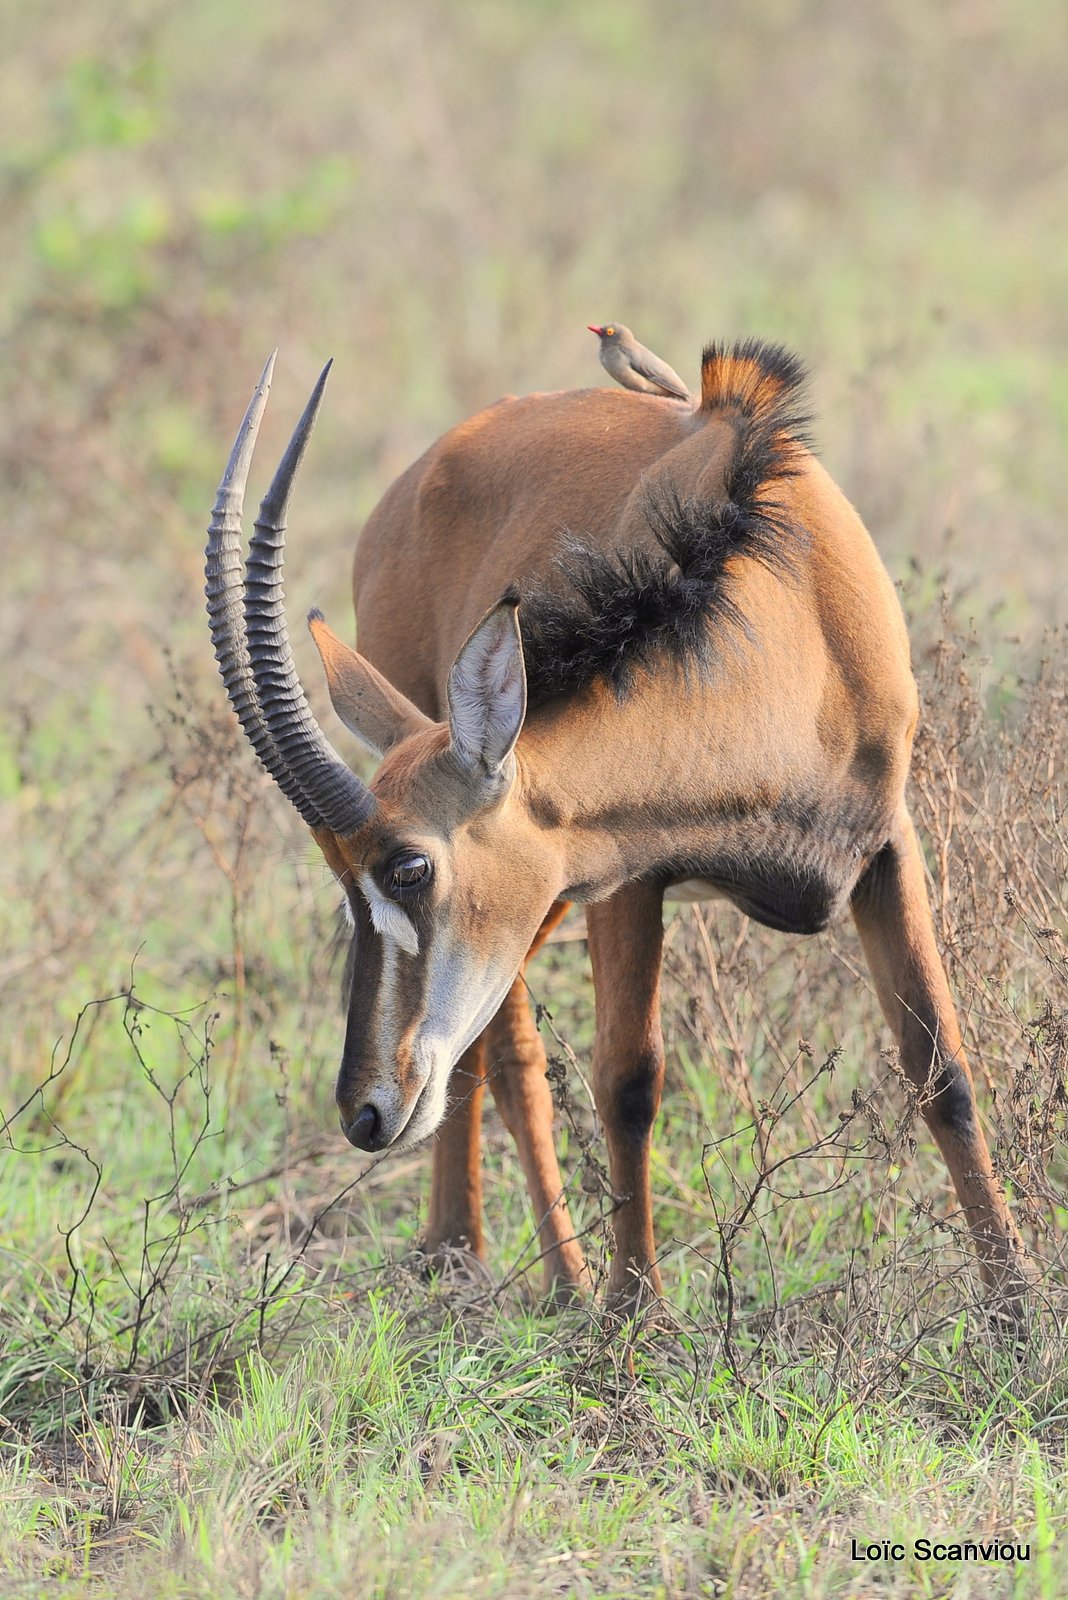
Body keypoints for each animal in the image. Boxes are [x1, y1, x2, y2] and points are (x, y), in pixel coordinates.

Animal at [204, 337, 1029, 1312]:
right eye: (347, 883)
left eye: (409, 868)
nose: (364, 1112)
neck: (790, 633)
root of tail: (421, 474)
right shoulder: (628, 875)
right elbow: (627, 1080)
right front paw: (637, 1317)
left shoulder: (885, 846)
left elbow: (943, 1069)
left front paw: (1015, 1310)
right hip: (545, 900)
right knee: (508, 1053)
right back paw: (532, 1271)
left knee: (477, 1057)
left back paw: (469, 1253)